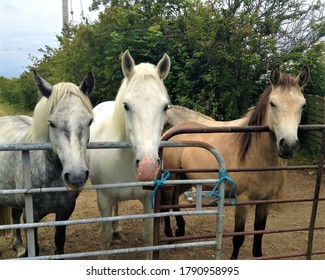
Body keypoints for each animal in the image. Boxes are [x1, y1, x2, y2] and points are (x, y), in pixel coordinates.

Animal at [87, 50, 171, 258]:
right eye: (126, 105)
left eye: (165, 106)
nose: (147, 168)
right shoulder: (104, 199)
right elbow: (104, 235)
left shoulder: (149, 201)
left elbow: (148, 236)